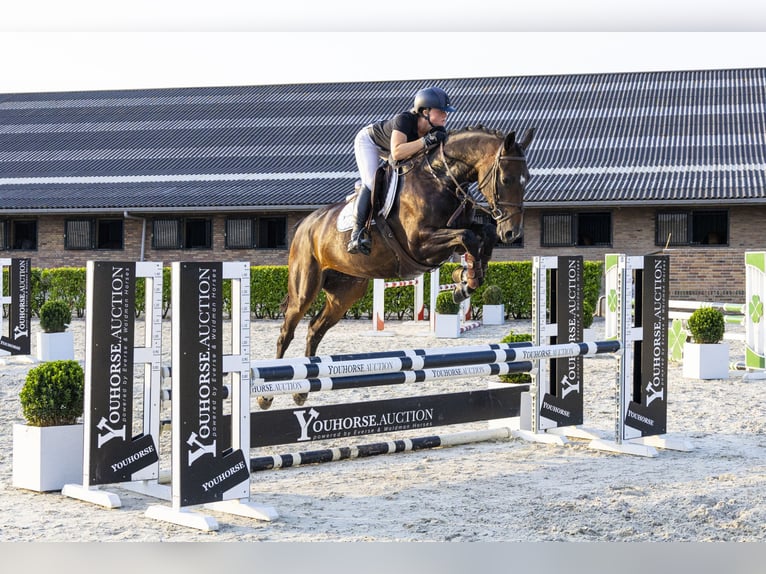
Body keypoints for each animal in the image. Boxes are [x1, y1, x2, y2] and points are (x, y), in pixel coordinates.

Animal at [258, 126, 536, 412]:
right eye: (505, 179)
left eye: (526, 178)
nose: (512, 233)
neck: (441, 179)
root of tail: (305, 224)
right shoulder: (420, 243)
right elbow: (468, 236)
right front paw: (463, 283)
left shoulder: (455, 233)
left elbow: (483, 234)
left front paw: (466, 279)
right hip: (305, 287)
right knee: (287, 331)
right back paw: (267, 396)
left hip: (345, 294)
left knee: (315, 329)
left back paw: (302, 392)